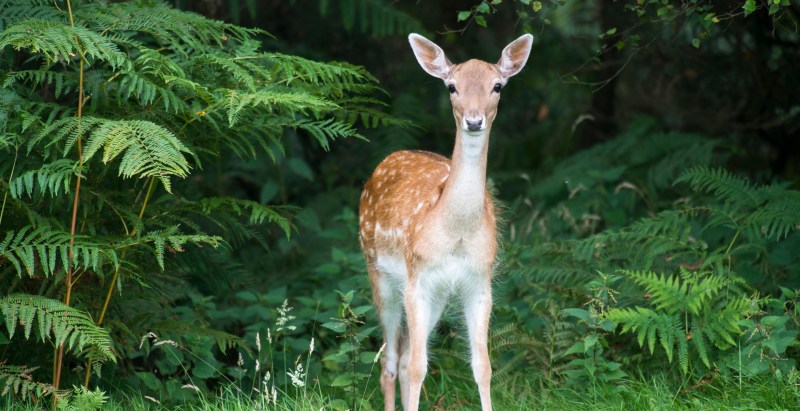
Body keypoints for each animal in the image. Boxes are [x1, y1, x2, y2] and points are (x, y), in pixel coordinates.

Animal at [358, 33, 533, 411]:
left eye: (497, 85)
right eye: (451, 86)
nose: (474, 120)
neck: (456, 234)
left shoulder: (479, 281)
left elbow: (483, 366)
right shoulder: (417, 278)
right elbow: (417, 368)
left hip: (436, 295)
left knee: (403, 357)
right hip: (379, 272)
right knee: (391, 363)